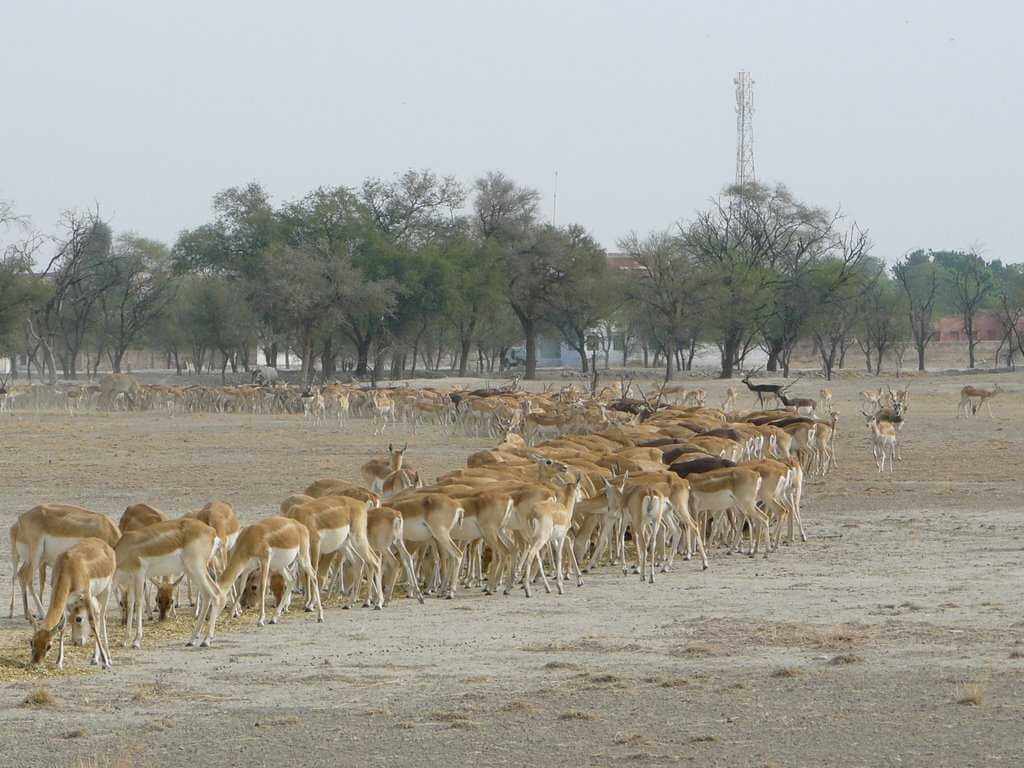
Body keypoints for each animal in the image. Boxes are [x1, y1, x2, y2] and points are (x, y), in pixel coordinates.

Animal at [29, 536, 116, 671]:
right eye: (32, 642)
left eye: (49, 646)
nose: (35, 663)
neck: (69, 568)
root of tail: (104, 544)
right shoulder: (65, 600)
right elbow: (62, 627)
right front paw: (59, 662)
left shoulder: (86, 596)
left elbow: (92, 623)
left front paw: (105, 662)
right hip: (94, 597)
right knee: (97, 615)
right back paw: (94, 659)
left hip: (105, 590)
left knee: (101, 618)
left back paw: (108, 659)